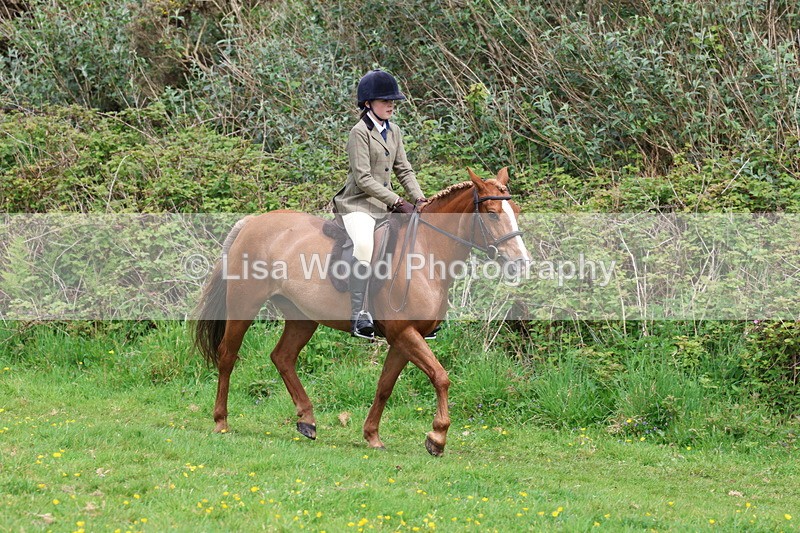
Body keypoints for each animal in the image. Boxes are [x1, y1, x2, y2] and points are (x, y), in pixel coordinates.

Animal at [192, 167, 531, 456]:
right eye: (492, 215)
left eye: (516, 213)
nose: (521, 264)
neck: (426, 253)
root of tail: (251, 222)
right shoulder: (404, 333)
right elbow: (441, 377)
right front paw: (437, 437)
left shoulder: (404, 338)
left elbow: (384, 386)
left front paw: (372, 436)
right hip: (244, 304)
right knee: (227, 355)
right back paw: (221, 421)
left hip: (303, 317)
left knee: (282, 357)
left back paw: (307, 421)